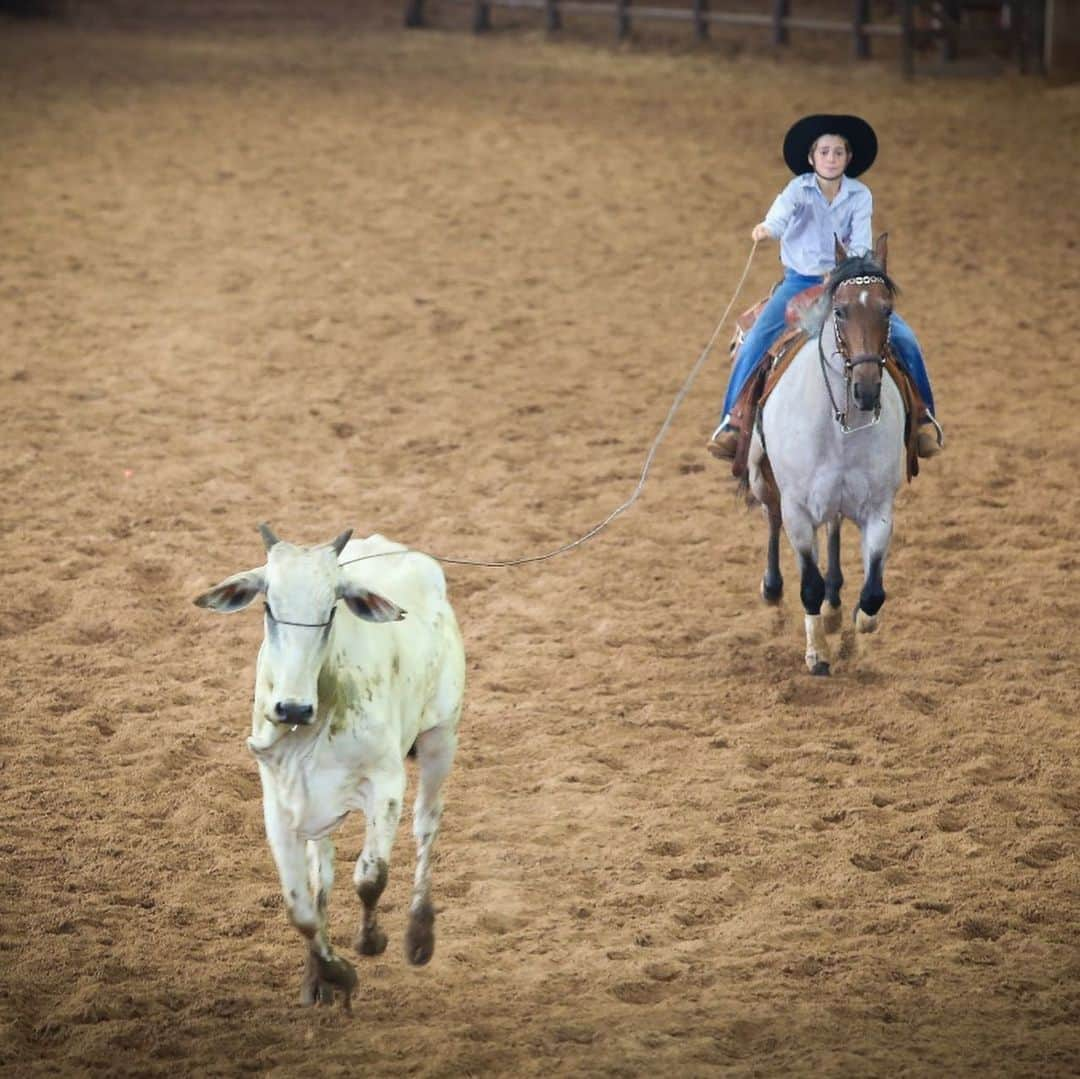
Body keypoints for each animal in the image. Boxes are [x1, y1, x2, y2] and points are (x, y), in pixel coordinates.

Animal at [747, 235, 907, 673]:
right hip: (761, 477)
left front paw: (857, 626)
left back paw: (835, 608)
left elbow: (873, 592)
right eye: (840, 310)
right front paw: (817, 653)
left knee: (833, 533)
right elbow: (809, 585)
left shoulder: (879, 508)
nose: (866, 389)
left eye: (887, 310)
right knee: (771, 518)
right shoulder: (798, 510)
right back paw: (773, 589)